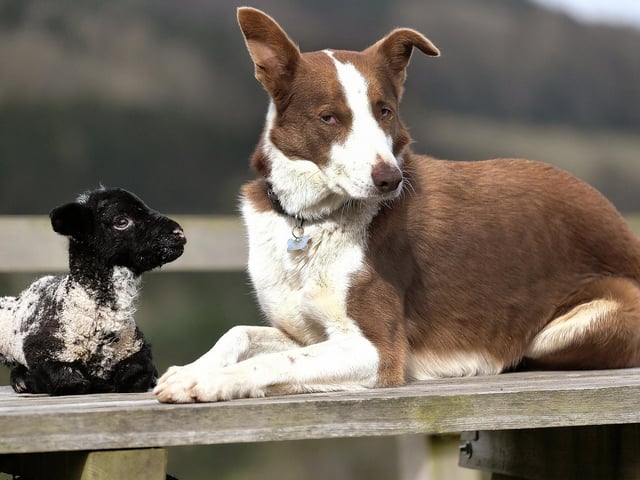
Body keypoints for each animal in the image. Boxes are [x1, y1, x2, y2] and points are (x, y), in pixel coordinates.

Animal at [0, 187, 186, 395]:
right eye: (121, 221)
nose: (179, 233)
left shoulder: (137, 347)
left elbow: (139, 374)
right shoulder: (42, 350)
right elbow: (68, 380)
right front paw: (30, 380)